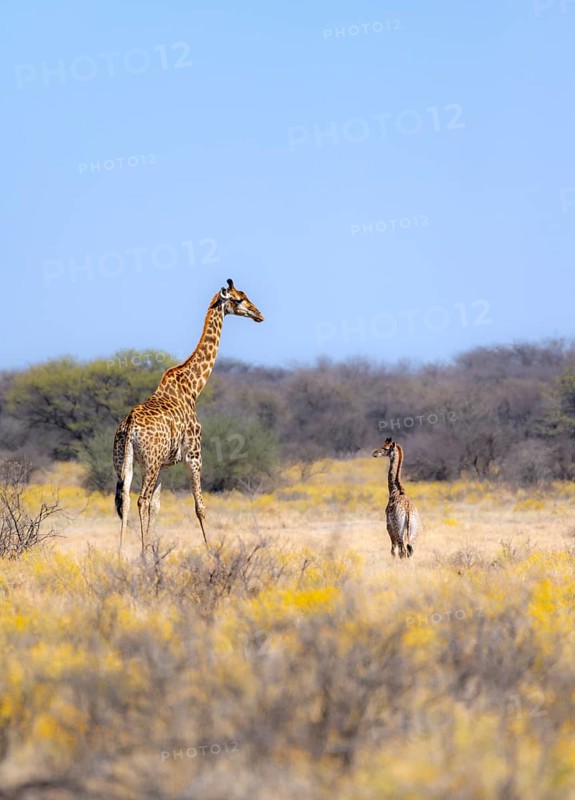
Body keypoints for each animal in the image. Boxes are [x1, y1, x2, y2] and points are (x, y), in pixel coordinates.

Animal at [113, 278, 264, 555]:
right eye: (238, 299)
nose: (259, 314)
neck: (193, 387)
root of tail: (128, 427)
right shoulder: (194, 454)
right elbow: (199, 506)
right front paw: (211, 551)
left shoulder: (164, 463)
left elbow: (156, 507)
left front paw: (152, 550)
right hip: (149, 462)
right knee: (140, 499)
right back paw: (140, 554)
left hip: (124, 461)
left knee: (126, 499)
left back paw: (120, 554)